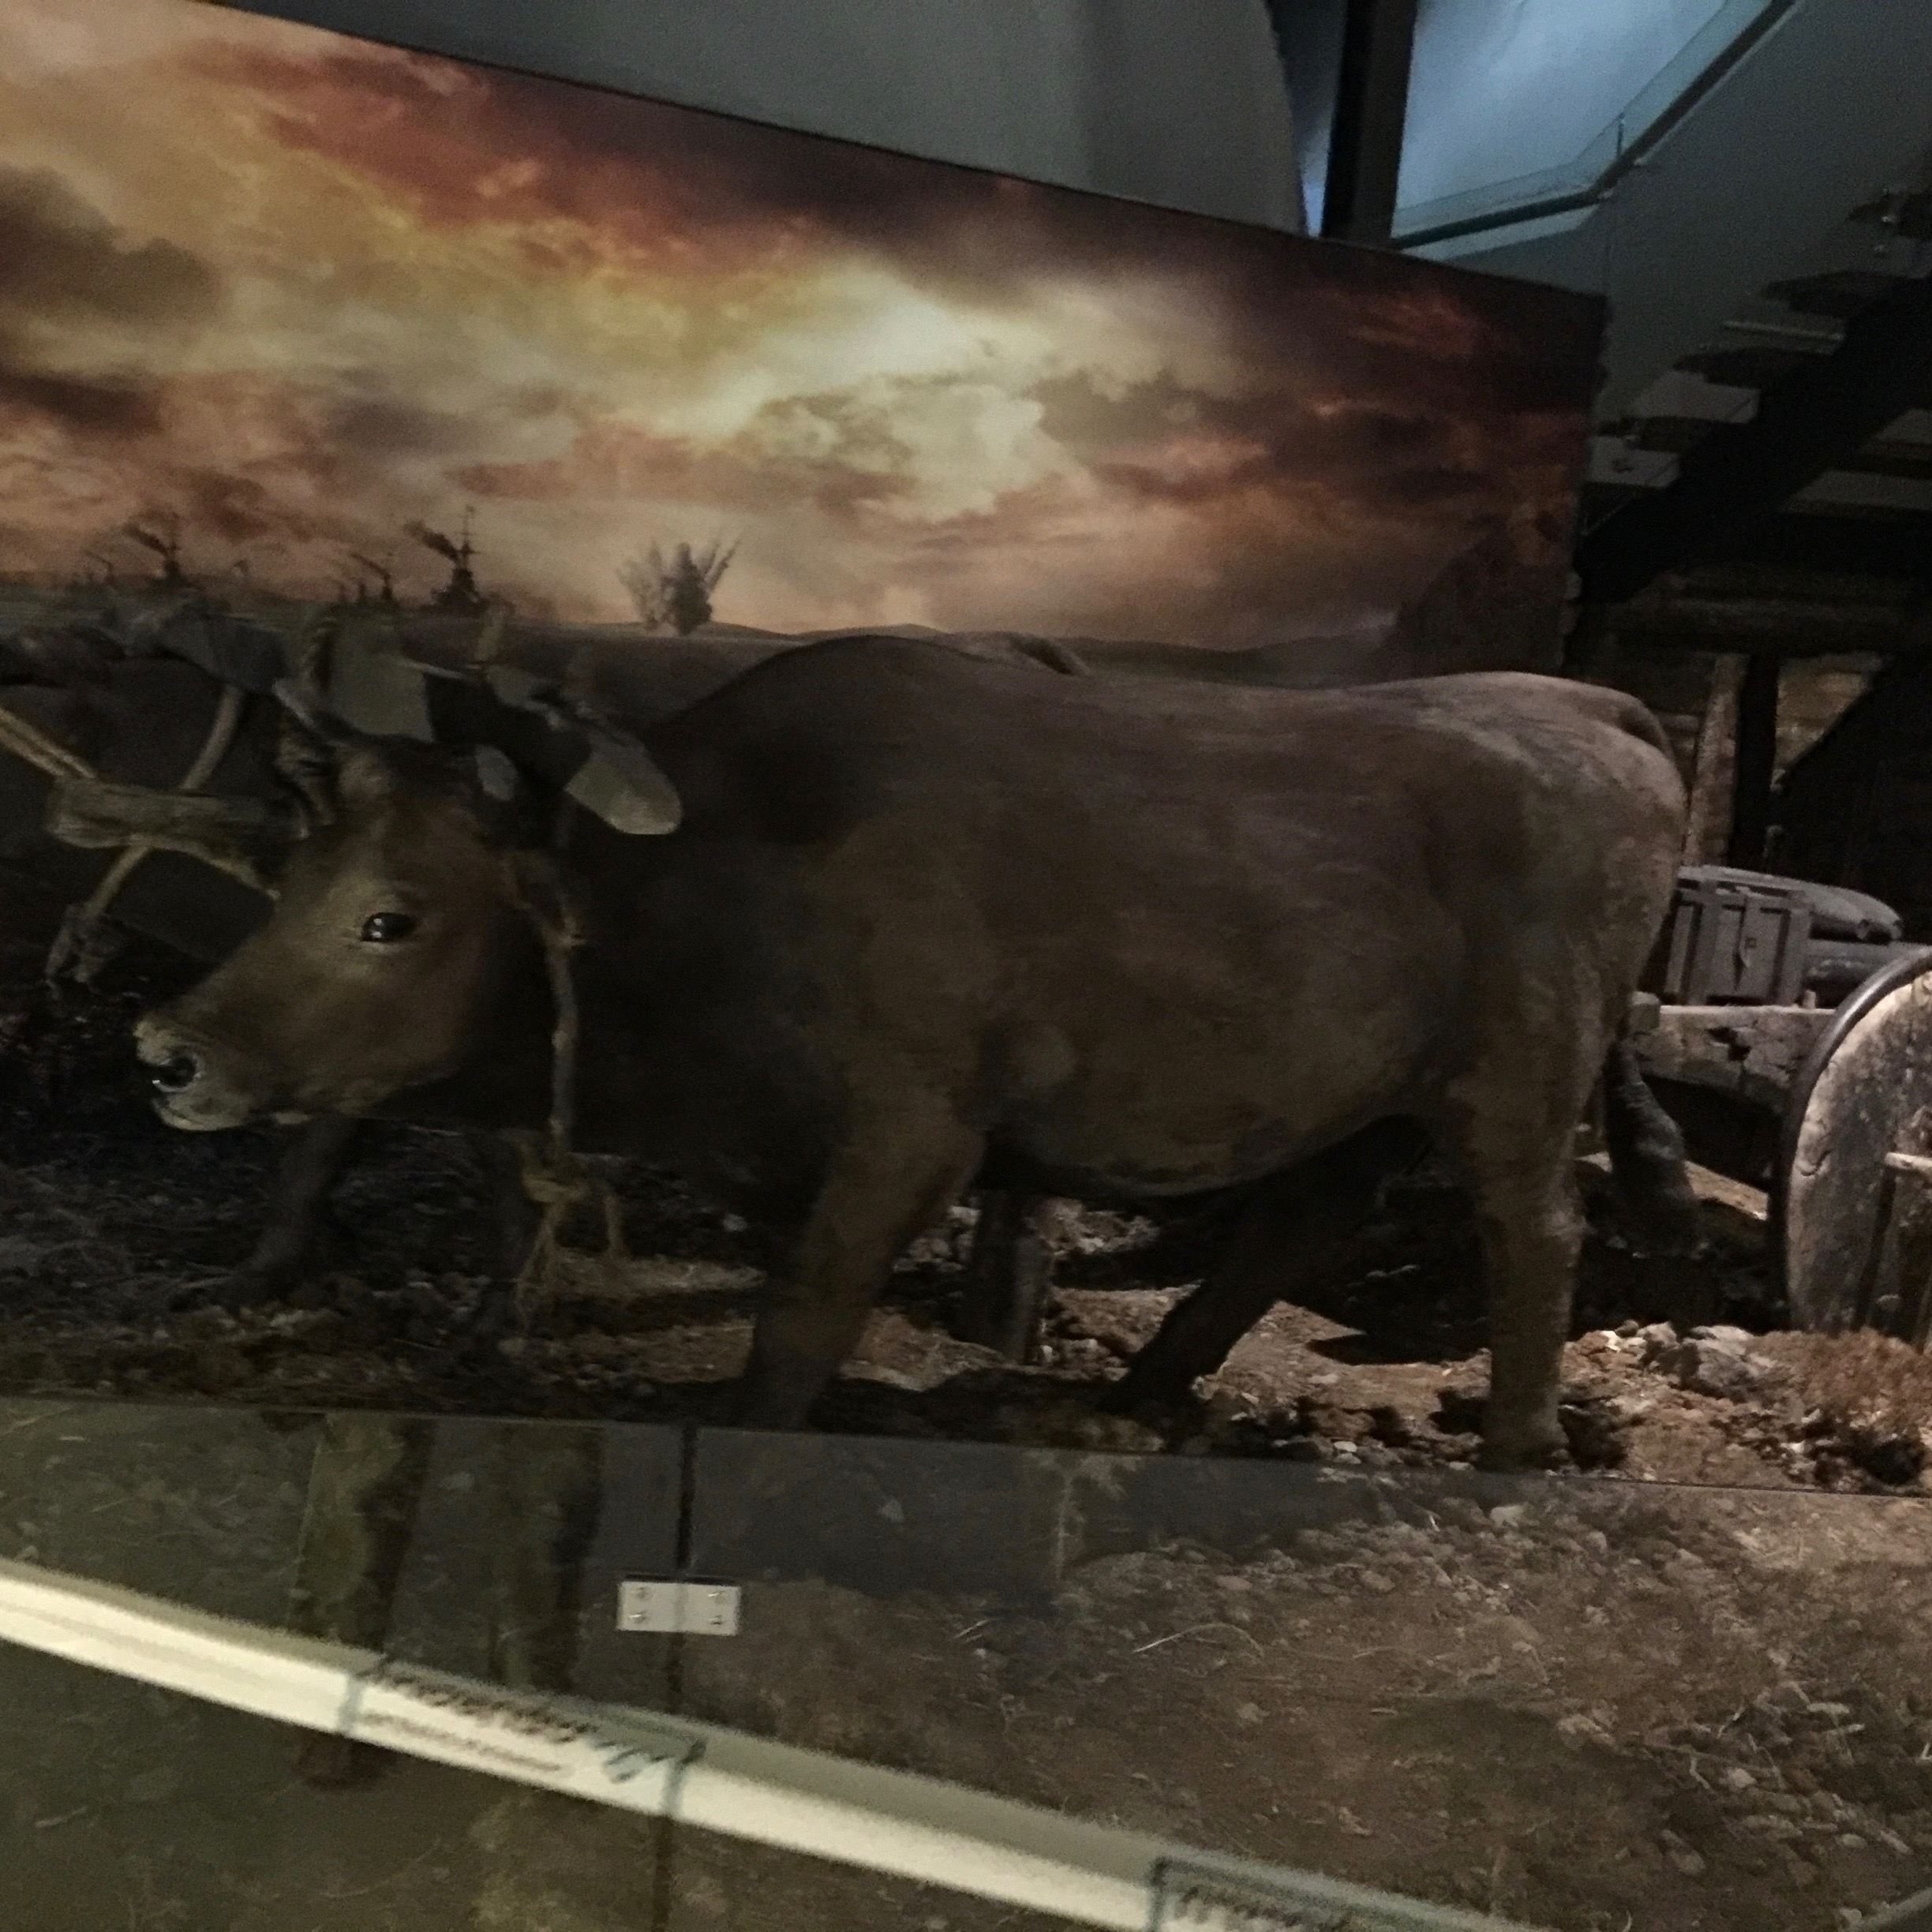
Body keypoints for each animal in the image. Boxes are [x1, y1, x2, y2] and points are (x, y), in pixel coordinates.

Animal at [105, 635, 1687, 1466]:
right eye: (288, 878)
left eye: (391, 914)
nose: (167, 1049)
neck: (726, 883)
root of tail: (1584, 706)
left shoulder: (914, 1133)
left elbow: (803, 1311)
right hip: (1365, 1098)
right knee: (1301, 1213)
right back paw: (1144, 1388)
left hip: (1519, 1077)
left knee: (1533, 1231)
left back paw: (1517, 1443)